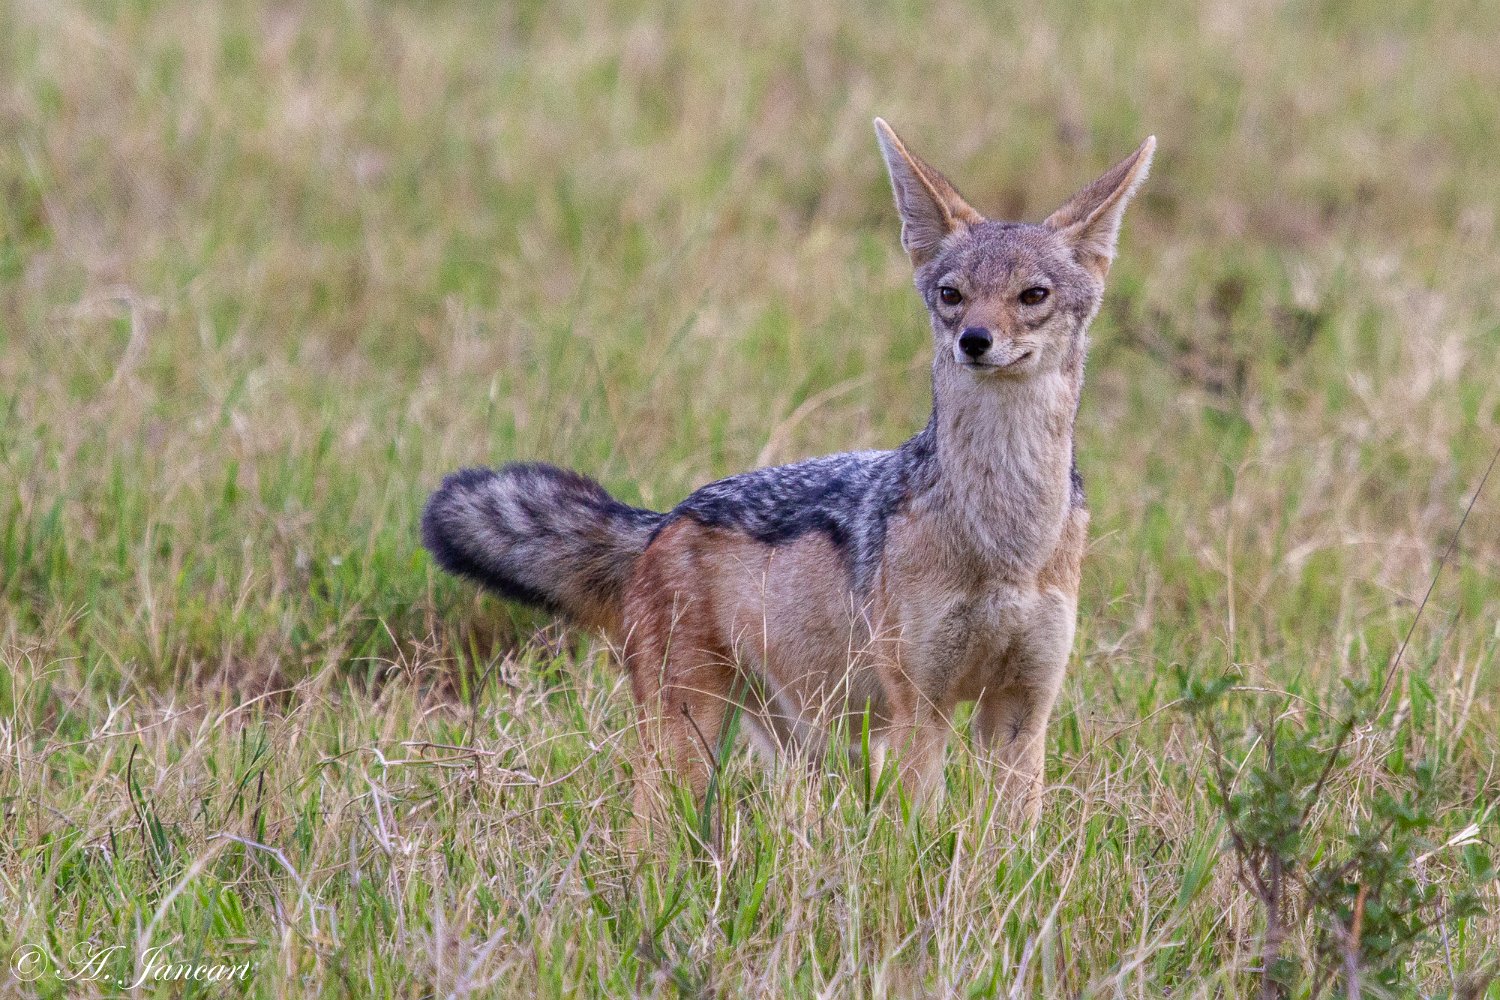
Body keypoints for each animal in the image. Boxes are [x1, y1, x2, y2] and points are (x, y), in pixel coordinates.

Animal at [422, 119, 1154, 826]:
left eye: (1033, 295)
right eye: (952, 295)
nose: (974, 341)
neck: (1005, 539)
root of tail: (664, 520)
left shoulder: (1022, 709)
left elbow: (1010, 846)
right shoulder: (920, 710)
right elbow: (921, 842)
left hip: (803, 744)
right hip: (691, 745)